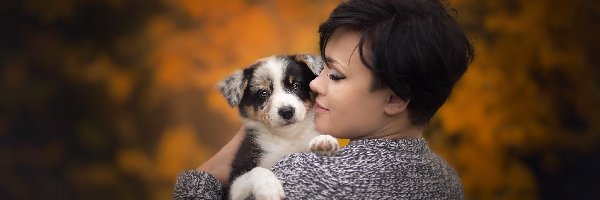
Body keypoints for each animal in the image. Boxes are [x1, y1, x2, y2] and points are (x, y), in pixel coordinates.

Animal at [218, 54, 340, 200]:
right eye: (263, 92)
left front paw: (323, 141)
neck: (287, 137)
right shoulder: (233, 183)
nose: (287, 111)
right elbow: (256, 170)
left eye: (296, 86)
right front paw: (269, 189)